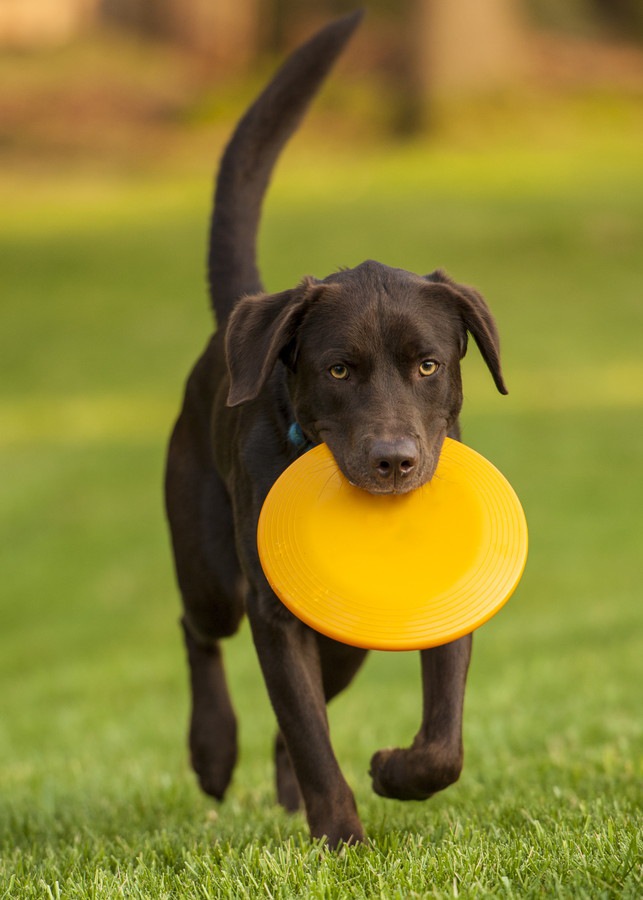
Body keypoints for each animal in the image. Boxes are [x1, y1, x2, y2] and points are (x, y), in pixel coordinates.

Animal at [166, 10, 508, 848]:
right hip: (208, 562)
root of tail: (241, 312)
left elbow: (442, 741)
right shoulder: (274, 612)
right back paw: (212, 752)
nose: (393, 461)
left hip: (347, 639)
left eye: (427, 365)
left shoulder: (442, 604)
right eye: (339, 371)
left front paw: (395, 771)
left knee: (303, 710)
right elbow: (309, 730)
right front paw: (342, 836)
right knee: (198, 630)